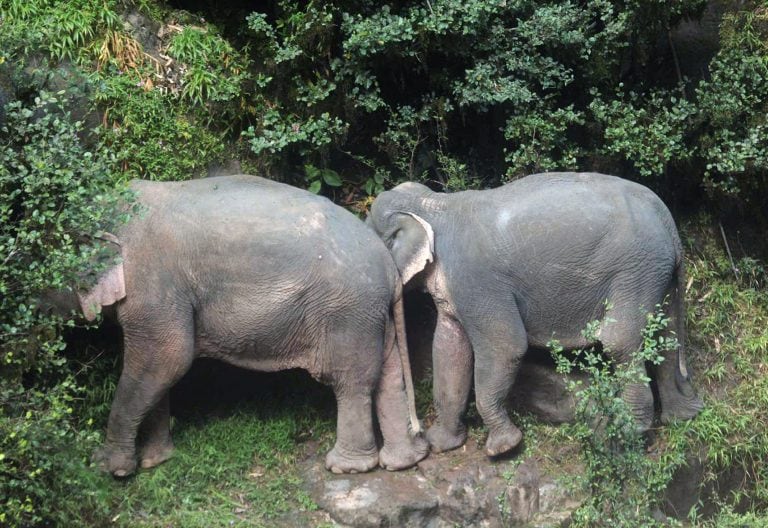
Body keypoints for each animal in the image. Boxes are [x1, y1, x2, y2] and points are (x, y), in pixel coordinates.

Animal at [54, 175, 426, 476]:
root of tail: (388, 265)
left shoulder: (152, 282)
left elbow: (166, 358)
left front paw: (108, 466)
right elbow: (158, 369)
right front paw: (154, 460)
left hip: (347, 310)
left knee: (351, 381)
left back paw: (347, 468)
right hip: (372, 312)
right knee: (388, 375)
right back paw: (401, 462)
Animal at [368, 171, 704, 456]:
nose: (418, 432)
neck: (434, 202)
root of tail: (667, 221)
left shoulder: (478, 280)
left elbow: (506, 347)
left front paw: (503, 448)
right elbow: (449, 350)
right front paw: (442, 444)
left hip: (635, 271)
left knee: (621, 342)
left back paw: (627, 435)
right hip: (658, 274)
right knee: (666, 338)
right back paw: (683, 416)